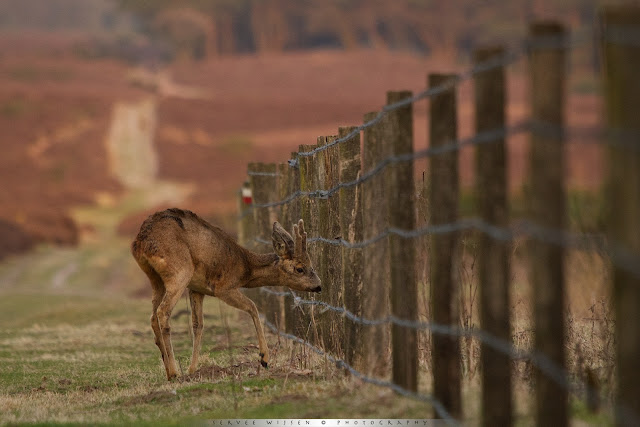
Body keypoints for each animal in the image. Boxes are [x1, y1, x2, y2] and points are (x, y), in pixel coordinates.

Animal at [131, 209, 320, 380]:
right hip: (179, 272)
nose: (319, 286)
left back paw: (169, 370)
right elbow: (252, 307)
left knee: (153, 316)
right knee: (163, 312)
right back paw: (173, 371)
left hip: (156, 279)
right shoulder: (223, 287)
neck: (245, 269)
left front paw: (193, 369)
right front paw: (264, 358)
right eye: (300, 268)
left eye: (312, 265)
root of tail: (141, 241)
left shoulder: (197, 289)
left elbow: (198, 325)